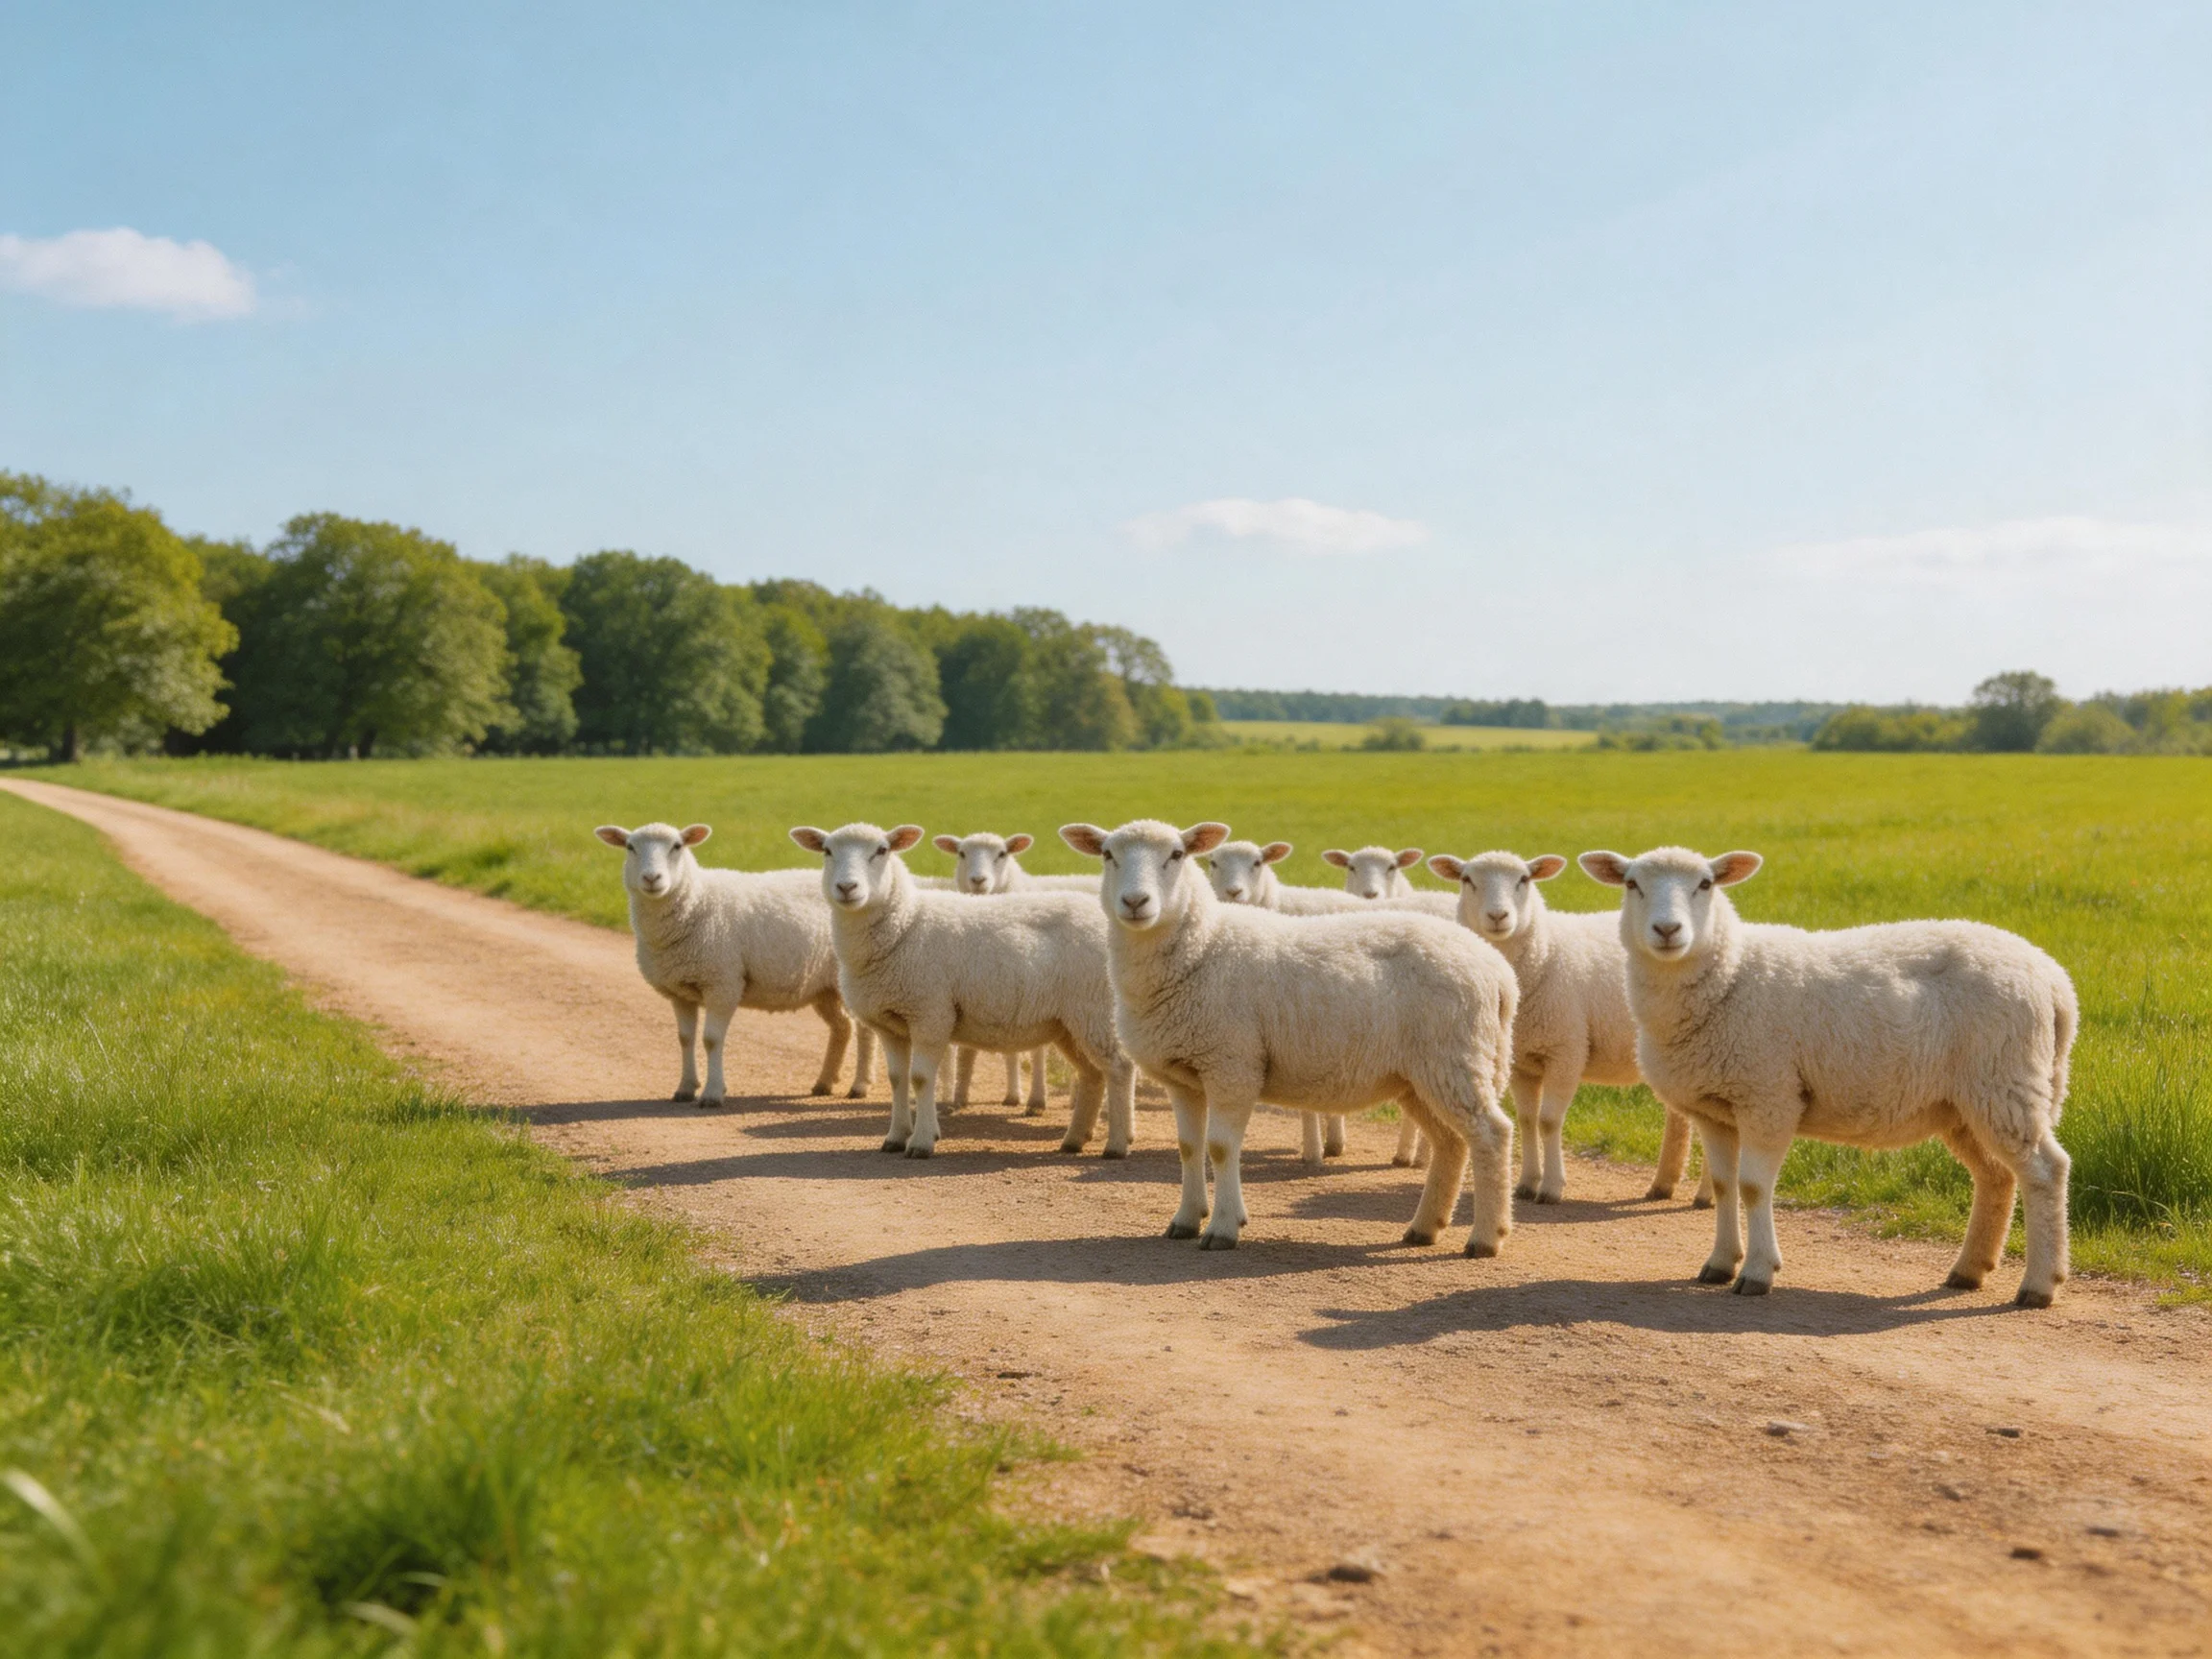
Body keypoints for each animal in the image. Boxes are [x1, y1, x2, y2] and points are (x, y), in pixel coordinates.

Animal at [594, 822, 874, 1107]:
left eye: (677, 846)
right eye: (630, 847)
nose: (652, 879)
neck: (697, 899)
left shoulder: (722, 982)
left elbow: (711, 1039)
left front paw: (713, 1093)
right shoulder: (680, 990)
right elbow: (685, 1039)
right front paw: (685, 1088)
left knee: (864, 1030)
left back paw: (859, 1085)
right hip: (823, 987)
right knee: (842, 1026)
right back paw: (824, 1082)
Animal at [932, 830, 1094, 1113]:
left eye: (1002, 854)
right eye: (962, 853)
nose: (978, 880)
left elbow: (1036, 1051)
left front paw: (1036, 1100)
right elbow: (989, 1050)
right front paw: (967, 1095)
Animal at [1059, 819, 1519, 1254]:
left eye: (1176, 854)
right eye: (1107, 855)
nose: (1136, 902)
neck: (1204, 946)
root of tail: (1499, 972)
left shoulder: (1232, 1064)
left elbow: (1220, 1147)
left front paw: (1223, 1228)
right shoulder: (1182, 1074)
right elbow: (1189, 1146)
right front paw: (1186, 1220)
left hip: (1455, 1060)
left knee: (1491, 1134)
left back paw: (1485, 1238)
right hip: (1421, 1076)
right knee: (1451, 1142)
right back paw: (1425, 1228)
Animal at [1426, 850, 1712, 1208]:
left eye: (1524, 879)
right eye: (1467, 880)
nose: (1498, 916)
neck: (1545, 952)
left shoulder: (1566, 1050)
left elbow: (1549, 1121)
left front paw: (1551, 1187)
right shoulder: (1522, 1061)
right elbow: (1527, 1120)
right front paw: (1526, 1183)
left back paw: (1705, 1195)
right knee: (1679, 1118)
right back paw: (1663, 1184)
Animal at [1579, 846, 2077, 1305]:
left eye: (1705, 884)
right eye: (1632, 884)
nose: (1668, 931)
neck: (1730, 974)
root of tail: (2055, 980)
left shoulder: (1769, 1095)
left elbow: (1753, 1187)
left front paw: (1757, 1272)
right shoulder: (1714, 1109)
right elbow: (1723, 1187)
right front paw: (1719, 1264)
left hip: (2004, 1081)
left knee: (2045, 1171)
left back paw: (2038, 1285)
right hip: (1966, 1102)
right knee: (1996, 1176)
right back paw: (1969, 1270)